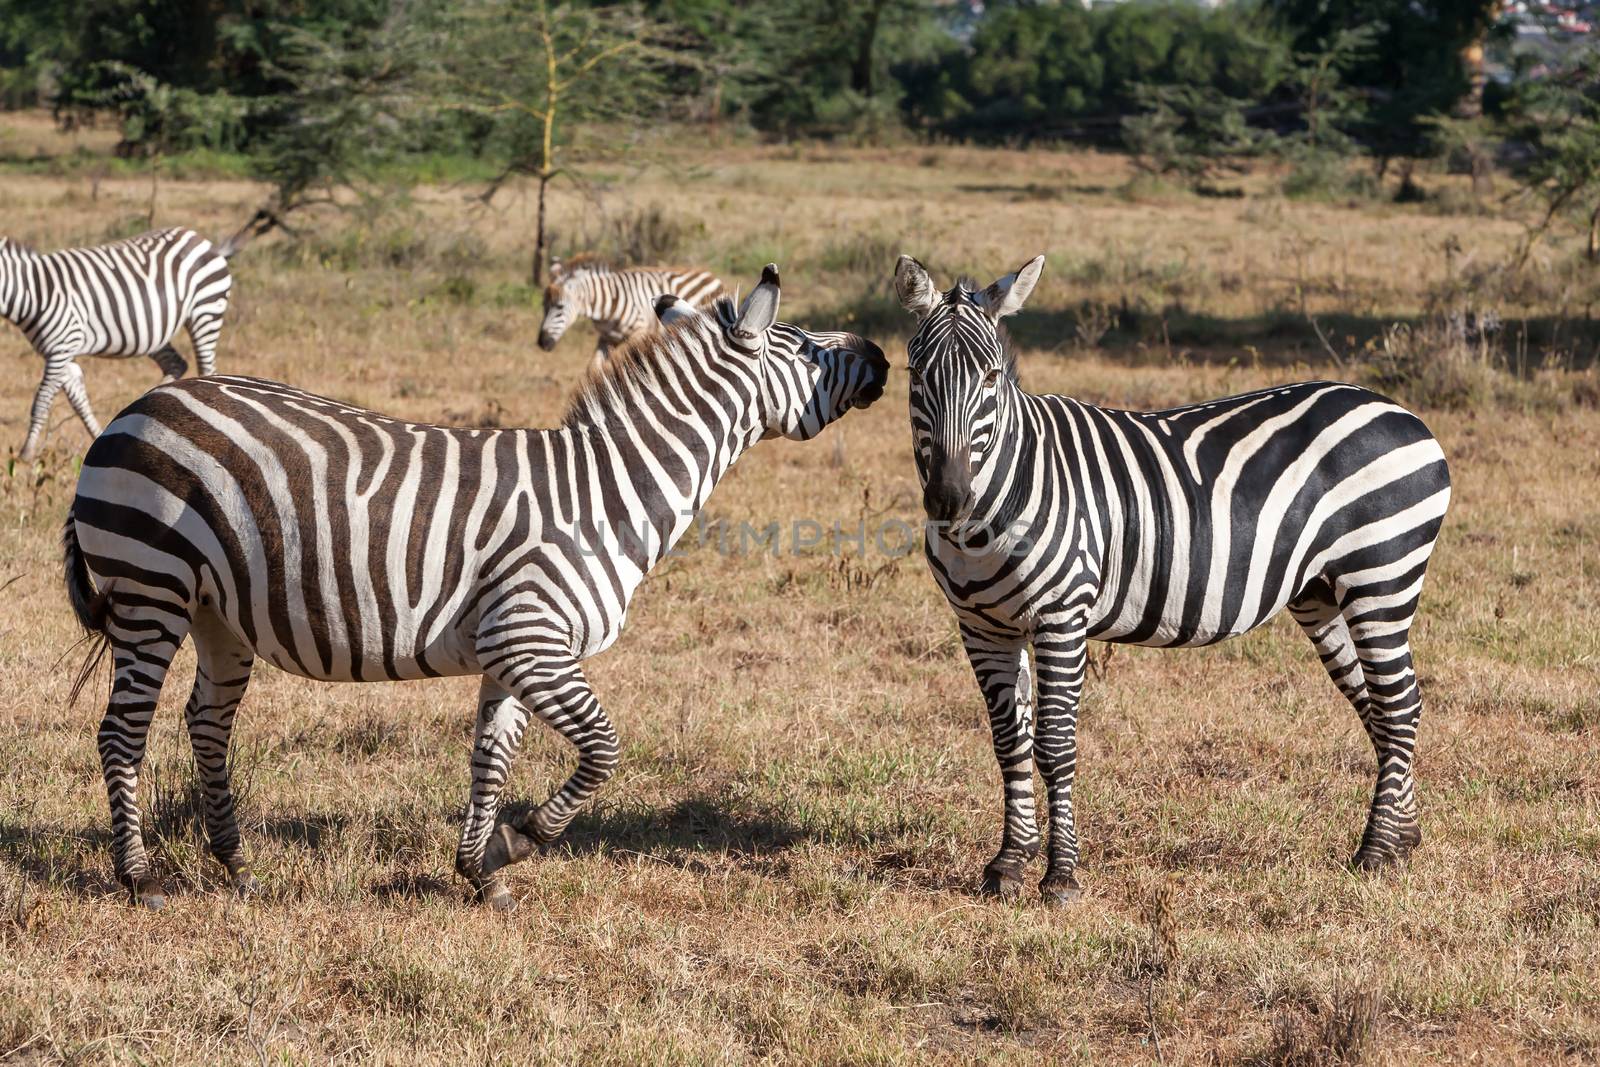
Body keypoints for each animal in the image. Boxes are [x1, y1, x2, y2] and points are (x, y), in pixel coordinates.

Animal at [0, 227, 233, 460]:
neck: (33, 293)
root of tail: (199, 238)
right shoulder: (61, 352)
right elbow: (78, 401)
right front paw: (97, 435)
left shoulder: (61, 347)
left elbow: (41, 400)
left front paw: (26, 451)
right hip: (153, 333)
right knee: (176, 363)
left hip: (206, 311)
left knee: (206, 367)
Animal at [537, 255, 726, 374]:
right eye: (543, 306)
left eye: (559, 307)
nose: (542, 343)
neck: (607, 303)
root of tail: (711, 276)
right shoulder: (607, 337)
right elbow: (593, 368)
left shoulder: (639, 332)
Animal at [896, 254, 1459, 908]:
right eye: (916, 375)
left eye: (990, 379)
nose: (949, 498)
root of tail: (1400, 411)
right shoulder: (983, 627)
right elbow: (1010, 741)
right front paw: (1010, 863)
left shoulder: (1062, 616)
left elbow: (1054, 745)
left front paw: (1061, 876)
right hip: (1320, 592)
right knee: (1377, 705)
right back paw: (1403, 836)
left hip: (1381, 577)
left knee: (1400, 703)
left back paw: (1375, 851)